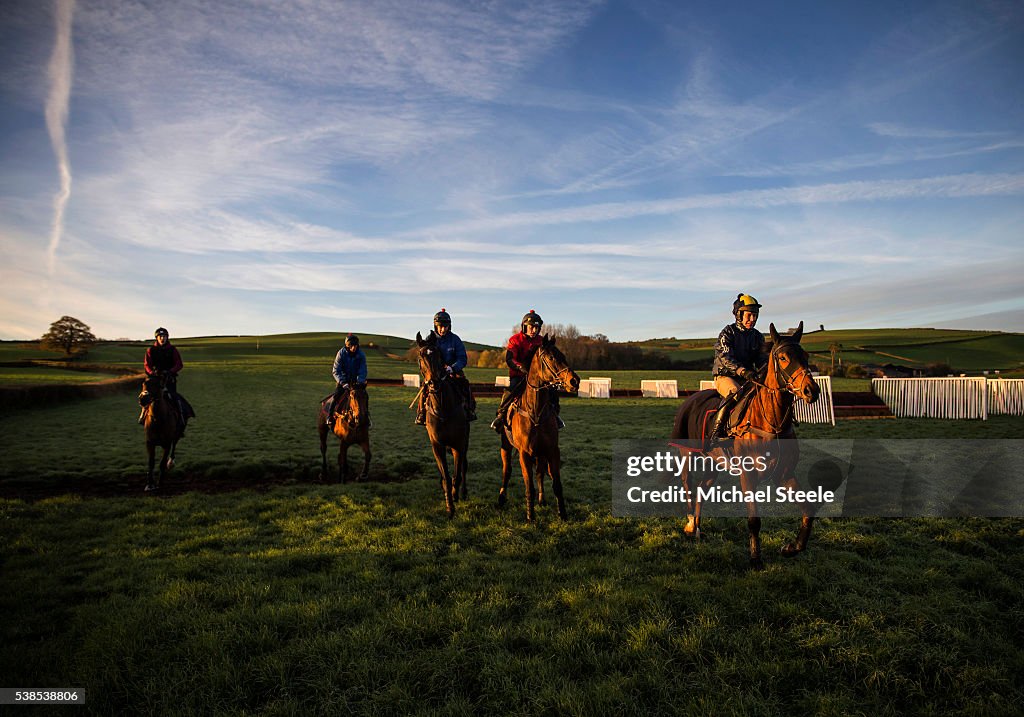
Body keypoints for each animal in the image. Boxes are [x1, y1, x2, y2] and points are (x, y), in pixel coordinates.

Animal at [413, 329, 468, 520]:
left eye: (438, 355)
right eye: (420, 356)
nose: (433, 383)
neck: (443, 407)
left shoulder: (459, 443)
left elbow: (457, 474)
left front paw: (455, 495)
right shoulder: (437, 445)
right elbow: (446, 476)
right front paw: (449, 507)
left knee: (463, 467)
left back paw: (463, 493)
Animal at [497, 335, 581, 520]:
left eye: (563, 356)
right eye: (550, 357)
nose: (574, 381)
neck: (535, 411)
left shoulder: (551, 450)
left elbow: (556, 484)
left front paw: (562, 513)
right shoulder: (524, 453)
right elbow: (529, 486)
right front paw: (530, 516)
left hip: (540, 453)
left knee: (540, 472)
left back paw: (542, 500)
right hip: (506, 446)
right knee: (507, 471)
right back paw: (501, 497)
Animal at [671, 321, 823, 569]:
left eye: (806, 356)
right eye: (783, 357)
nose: (812, 391)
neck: (771, 422)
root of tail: (689, 399)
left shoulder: (785, 473)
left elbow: (808, 511)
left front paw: (792, 548)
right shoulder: (748, 476)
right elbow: (754, 520)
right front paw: (755, 558)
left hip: (713, 462)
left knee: (702, 488)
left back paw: (698, 529)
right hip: (687, 454)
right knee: (687, 484)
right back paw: (691, 523)